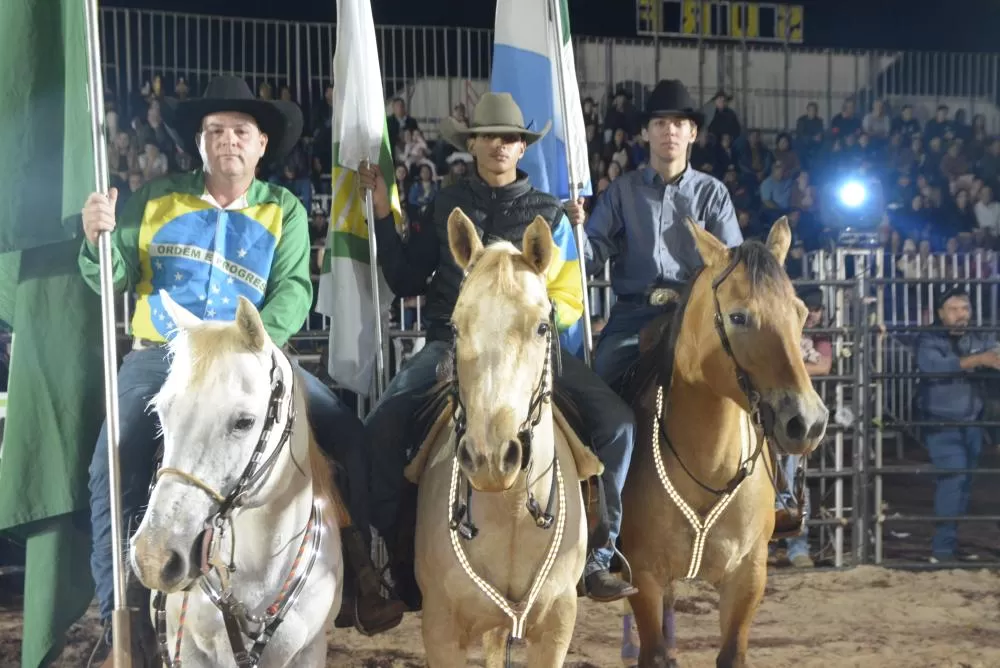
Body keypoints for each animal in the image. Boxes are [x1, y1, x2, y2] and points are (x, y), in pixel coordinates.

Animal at [404, 208, 598, 667]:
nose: (491, 458)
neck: (510, 514)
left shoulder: (558, 626)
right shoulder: (440, 630)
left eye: (543, 327)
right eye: (455, 328)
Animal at [619, 218, 829, 668]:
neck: (708, 468)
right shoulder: (644, 577)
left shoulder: (748, 576)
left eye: (800, 312)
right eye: (738, 316)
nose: (808, 422)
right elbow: (654, 652)